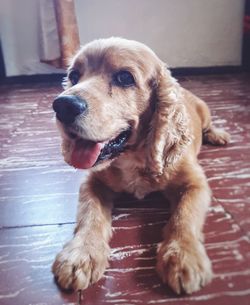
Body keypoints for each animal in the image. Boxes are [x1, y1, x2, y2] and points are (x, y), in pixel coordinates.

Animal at [51, 36, 230, 294]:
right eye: (74, 75)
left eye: (124, 78)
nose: (62, 105)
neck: (133, 156)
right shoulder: (92, 182)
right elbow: (89, 214)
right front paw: (81, 254)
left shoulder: (195, 183)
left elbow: (185, 215)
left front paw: (183, 256)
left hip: (205, 111)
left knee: (209, 125)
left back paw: (218, 134)